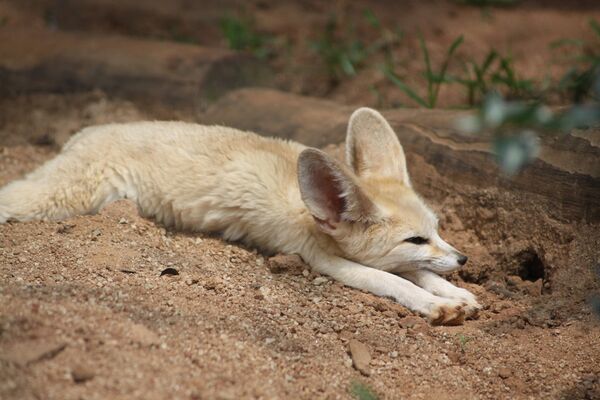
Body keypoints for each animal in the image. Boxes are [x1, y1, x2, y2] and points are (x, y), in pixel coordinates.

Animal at [0, 108, 478, 324]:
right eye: (414, 239)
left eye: (436, 230)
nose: (464, 260)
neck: (309, 210)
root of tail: (86, 131)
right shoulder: (325, 260)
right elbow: (394, 280)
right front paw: (435, 304)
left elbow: (416, 272)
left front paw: (455, 293)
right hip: (63, 197)